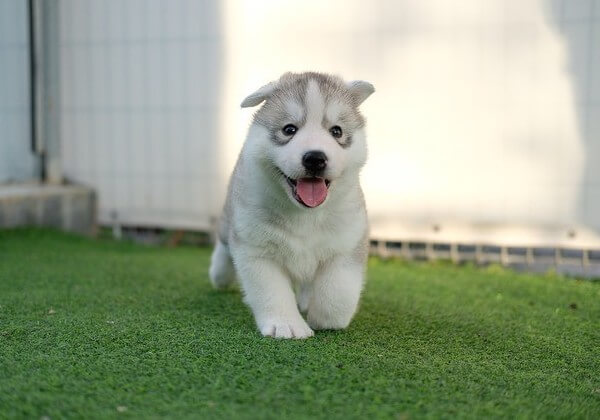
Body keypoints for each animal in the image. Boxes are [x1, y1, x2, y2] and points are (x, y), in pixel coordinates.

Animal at [209, 69, 372, 338]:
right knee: (223, 244)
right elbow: (271, 291)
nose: (315, 158)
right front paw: (286, 324)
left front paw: (326, 319)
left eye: (336, 131)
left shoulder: (347, 241)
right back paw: (219, 274)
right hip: (229, 220)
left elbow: (338, 291)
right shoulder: (256, 248)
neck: (304, 214)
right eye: (289, 129)